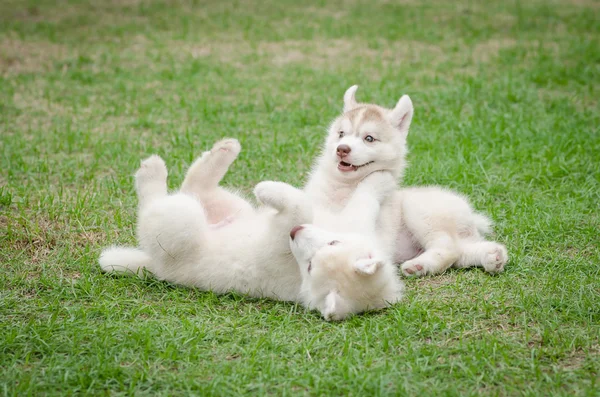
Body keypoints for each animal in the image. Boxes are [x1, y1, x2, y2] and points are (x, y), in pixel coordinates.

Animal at [101, 138, 406, 318]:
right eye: (333, 243)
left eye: (310, 267)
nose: (295, 232)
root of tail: (153, 265)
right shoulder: (356, 222)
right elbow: (364, 198)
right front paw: (381, 179)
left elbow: (301, 207)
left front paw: (266, 189)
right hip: (233, 208)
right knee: (195, 185)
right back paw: (224, 150)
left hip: (181, 223)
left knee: (156, 206)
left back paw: (151, 170)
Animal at [308, 85, 508, 276]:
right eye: (341, 134)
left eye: (369, 138)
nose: (342, 149)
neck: (345, 188)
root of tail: (470, 214)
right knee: (463, 253)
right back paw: (492, 256)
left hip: (419, 209)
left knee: (449, 249)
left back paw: (419, 265)